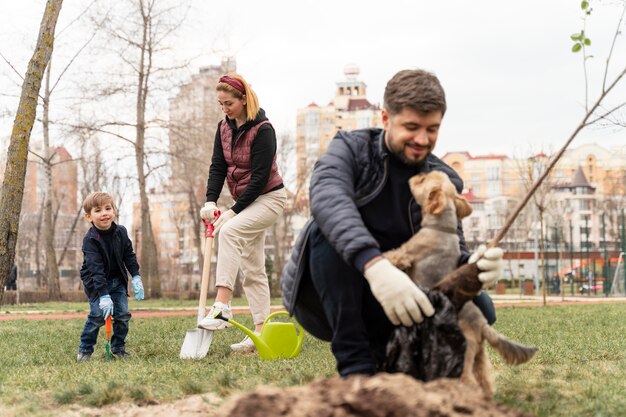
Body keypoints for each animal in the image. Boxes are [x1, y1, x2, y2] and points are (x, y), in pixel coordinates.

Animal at [382, 170, 532, 396]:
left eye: (422, 180)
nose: (417, 174)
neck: (442, 227)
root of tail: (482, 324)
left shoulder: (407, 253)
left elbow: (392, 256)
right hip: (479, 356)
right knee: (485, 381)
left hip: (463, 357)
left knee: (469, 383)